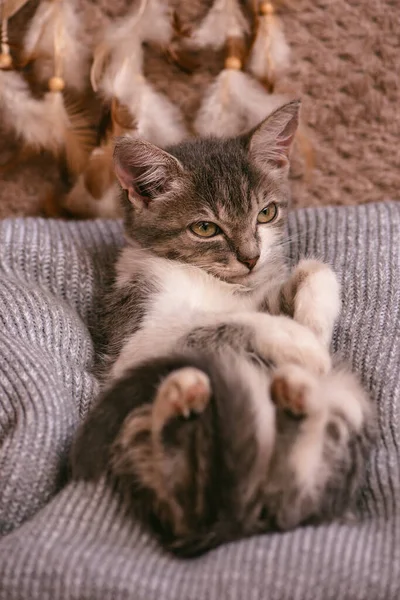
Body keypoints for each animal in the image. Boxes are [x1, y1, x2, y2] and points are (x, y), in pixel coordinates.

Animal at [71, 101, 376, 556]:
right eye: (204, 228)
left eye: (266, 213)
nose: (250, 257)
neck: (212, 282)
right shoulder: (132, 339)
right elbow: (210, 323)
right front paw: (299, 341)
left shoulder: (259, 291)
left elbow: (316, 270)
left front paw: (314, 329)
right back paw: (186, 395)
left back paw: (297, 393)